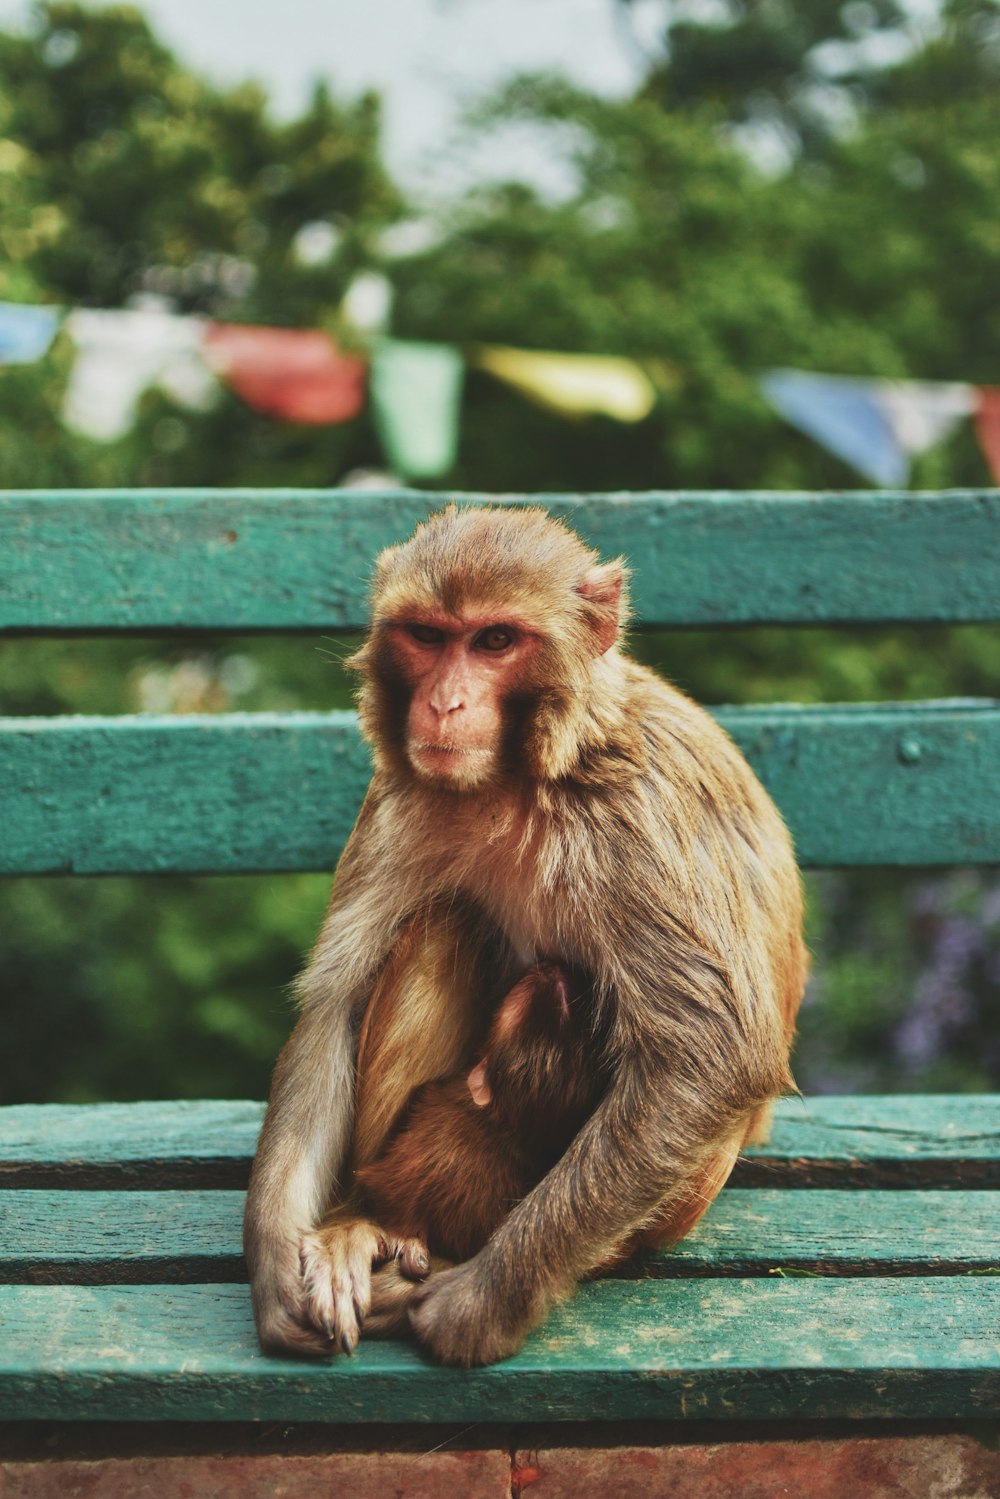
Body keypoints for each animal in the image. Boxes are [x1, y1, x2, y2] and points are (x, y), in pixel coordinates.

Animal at [245, 506, 809, 1373]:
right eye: (427, 635)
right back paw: (369, 1223)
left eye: (495, 641)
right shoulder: (399, 794)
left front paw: (480, 1305)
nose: (444, 703)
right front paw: (275, 1262)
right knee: (445, 923)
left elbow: (715, 1054)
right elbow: (335, 1005)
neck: (517, 779)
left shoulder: (640, 808)